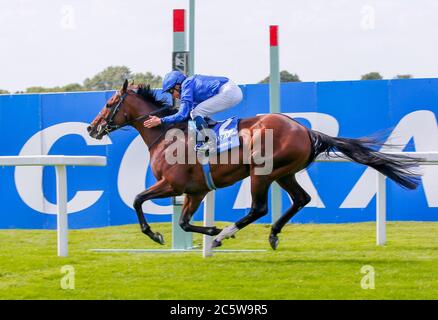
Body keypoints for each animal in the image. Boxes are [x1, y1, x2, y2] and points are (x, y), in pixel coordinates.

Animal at [88, 80, 420, 250]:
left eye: (109, 104)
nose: (92, 128)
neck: (167, 135)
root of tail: (305, 129)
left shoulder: (173, 184)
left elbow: (137, 199)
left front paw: (158, 234)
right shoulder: (195, 191)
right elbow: (182, 222)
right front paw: (206, 229)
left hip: (261, 172)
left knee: (259, 208)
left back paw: (224, 234)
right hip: (284, 172)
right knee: (301, 199)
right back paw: (270, 234)